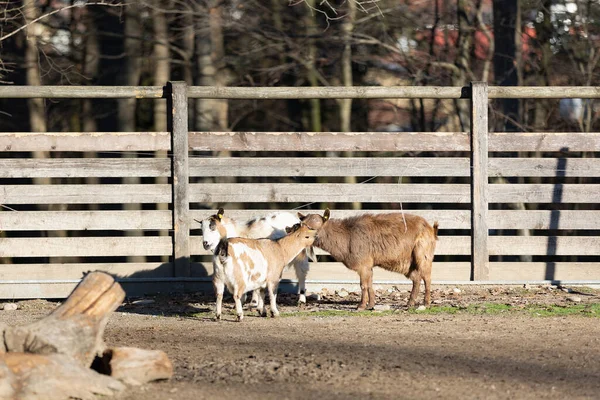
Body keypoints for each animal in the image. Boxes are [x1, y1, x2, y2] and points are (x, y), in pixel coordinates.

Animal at [298, 209, 436, 310]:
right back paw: (410, 303)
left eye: (312, 226)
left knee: (427, 278)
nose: (298, 234)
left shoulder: (363, 263)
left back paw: (426, 303)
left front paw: (361, 306)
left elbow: (363, 285)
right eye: (301, 224)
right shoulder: (369, 265)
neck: (345, 238)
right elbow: (369, 284)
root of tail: (431, 228)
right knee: (416, 278)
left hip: (423, 254)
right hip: (407, 263)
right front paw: (371, 304)